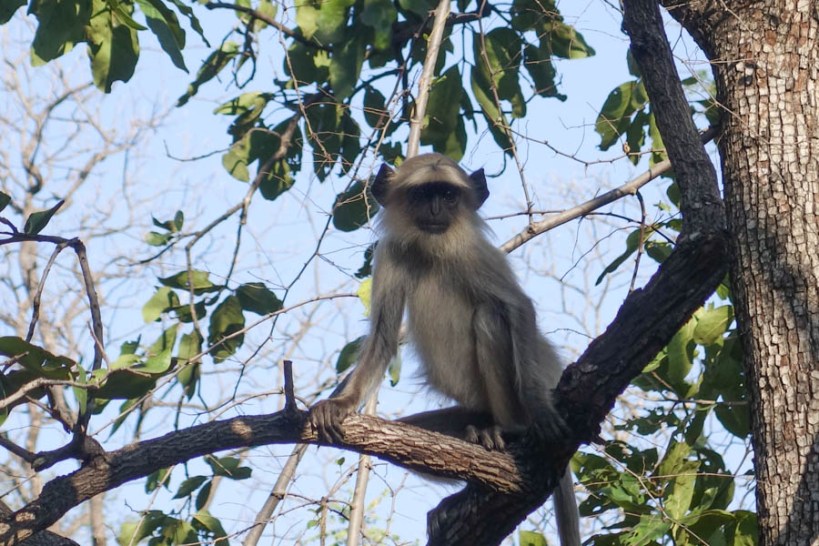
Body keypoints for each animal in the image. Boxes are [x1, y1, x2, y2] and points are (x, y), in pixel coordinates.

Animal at [310, 153, 580, 546]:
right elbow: (383, 336)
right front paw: (341, 403)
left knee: (489, 316)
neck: (431, 250)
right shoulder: (391, 253)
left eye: (449, 196)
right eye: (424, 195)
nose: (437, 209)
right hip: (469, 412)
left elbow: (518, 308)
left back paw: (511, 430)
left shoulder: (473, 251)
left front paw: (541, 410)